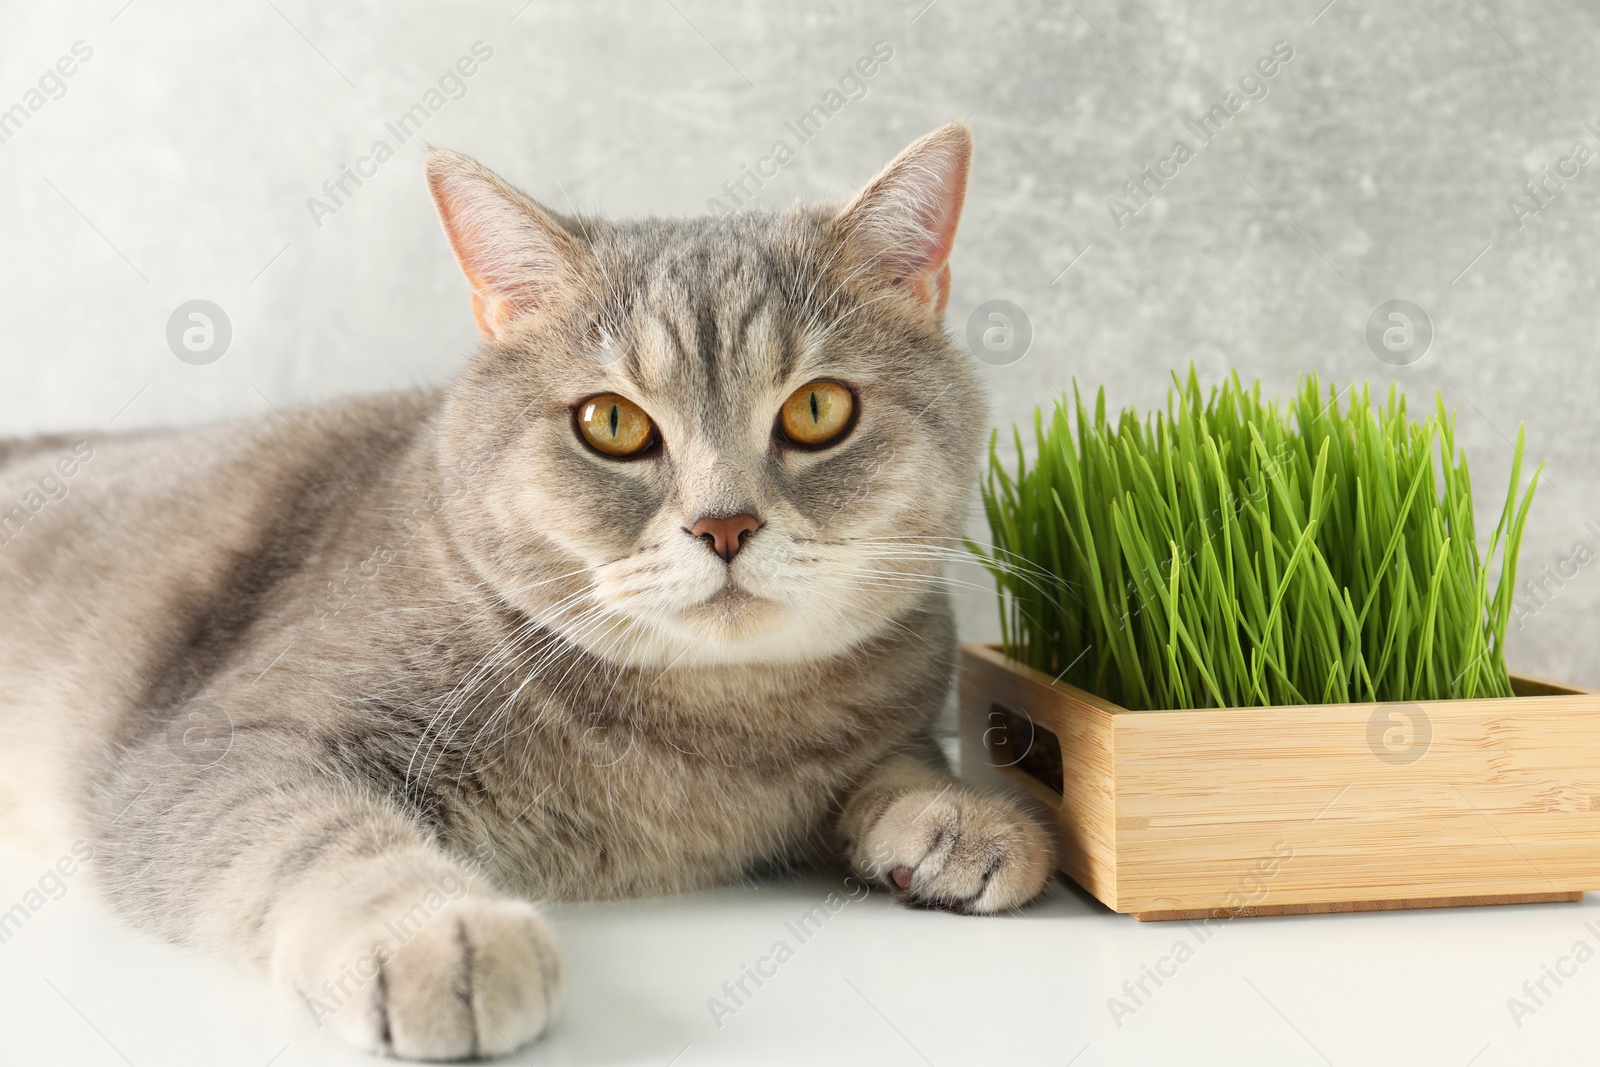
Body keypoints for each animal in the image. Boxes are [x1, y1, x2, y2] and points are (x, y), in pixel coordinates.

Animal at [0, 125, 1049, 1062]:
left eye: (818, 410)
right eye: (613, 423)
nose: (724, 525)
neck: (715, 735)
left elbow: (900, 757)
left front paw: (958, 812)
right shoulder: (215, 751)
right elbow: (323, 840)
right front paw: (438, 934)